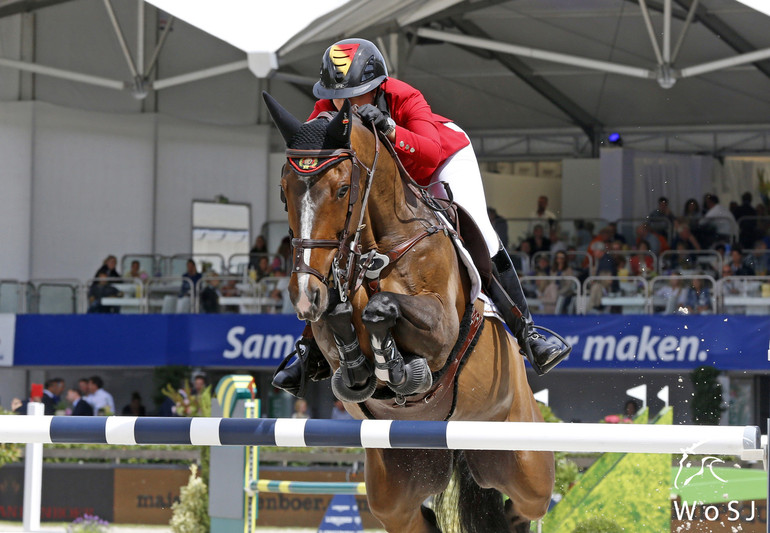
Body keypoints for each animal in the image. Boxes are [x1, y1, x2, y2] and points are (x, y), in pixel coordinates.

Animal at [264, 92, 552, 532]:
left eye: (343, 189)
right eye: (284, 192)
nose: (304, 295)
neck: (377, 249)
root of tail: (457, 445)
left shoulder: (443, 328)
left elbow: (384, 309)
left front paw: (398, 368)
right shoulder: (328, 326)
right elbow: (338, 325)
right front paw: (364, 367)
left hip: (525, 462)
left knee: (523, 508)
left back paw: (538, 345)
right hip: (396, 483)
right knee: (418, 518)